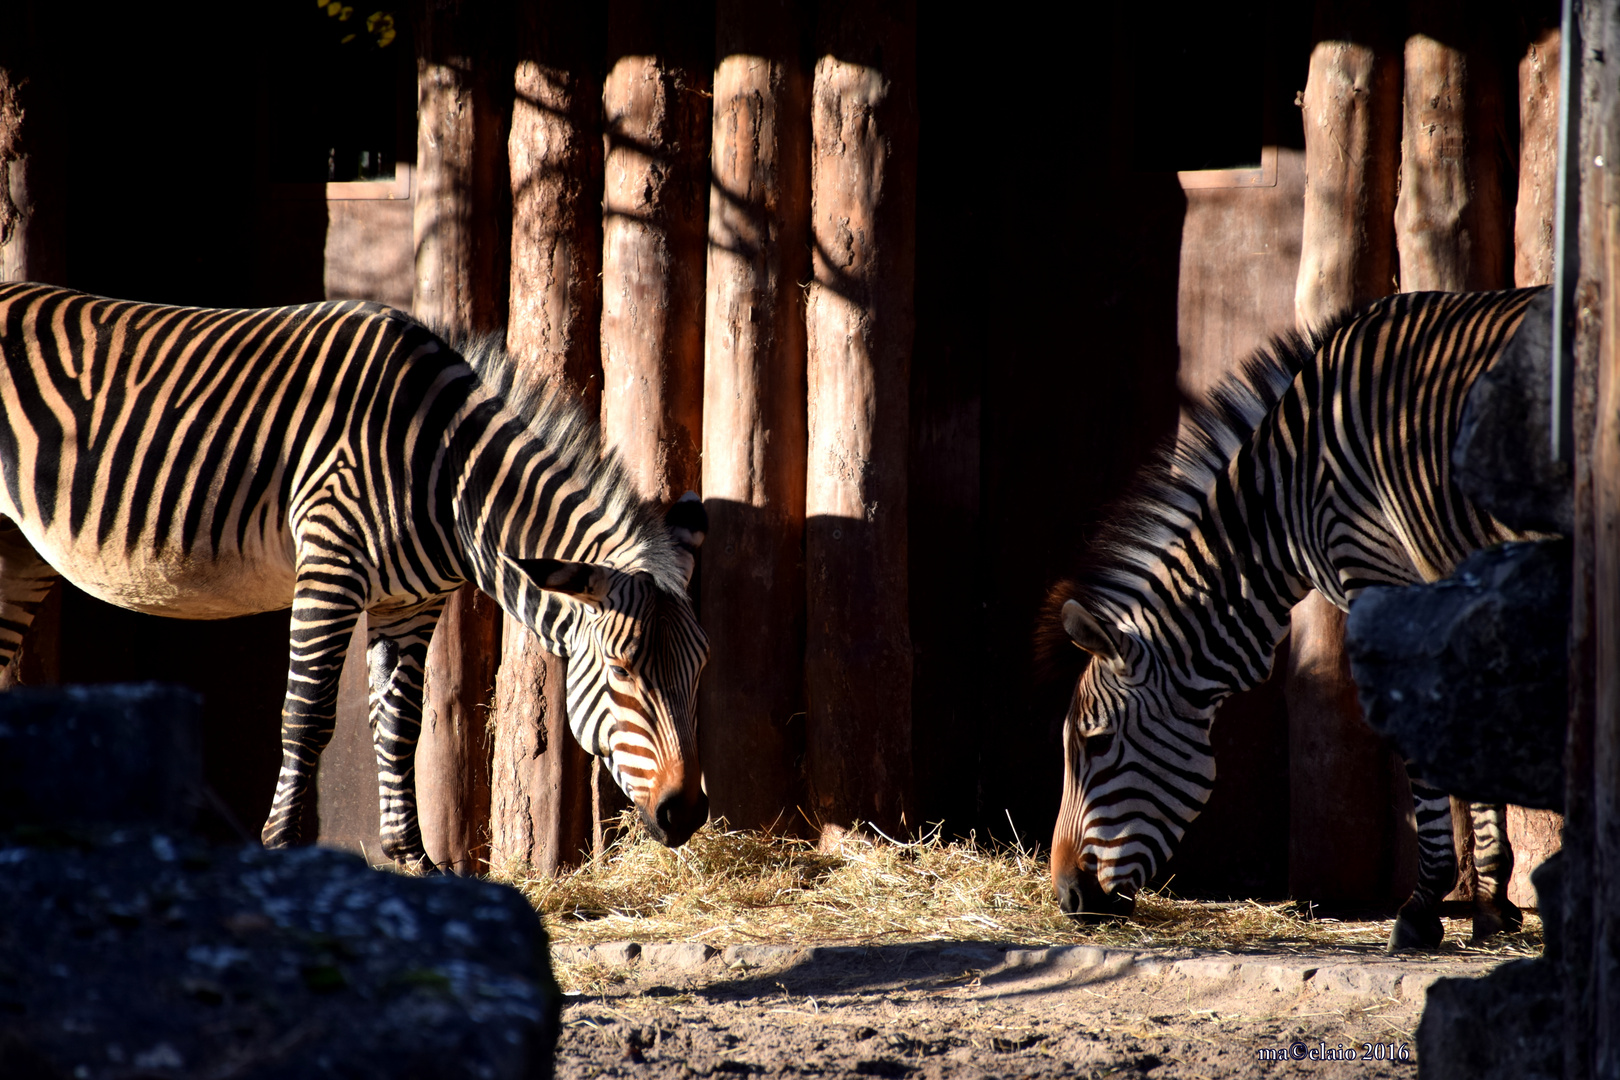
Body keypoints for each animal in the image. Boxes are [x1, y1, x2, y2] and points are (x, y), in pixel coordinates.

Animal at [0, 283, 709, 874]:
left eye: (700, 669)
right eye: (621, 670)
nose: (687, 813)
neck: (445, 469)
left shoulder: (412, 603)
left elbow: (400, 723)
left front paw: (413, 860)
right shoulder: (329, 565)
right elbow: (307, 715)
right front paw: (282, 849)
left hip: (21, 553)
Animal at [1043, 289, 1548, 952]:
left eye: (1095, 743)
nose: (1067, 897)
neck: (1283, 495)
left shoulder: (1377, 573)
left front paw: (1421, 908)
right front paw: (1491, 903)